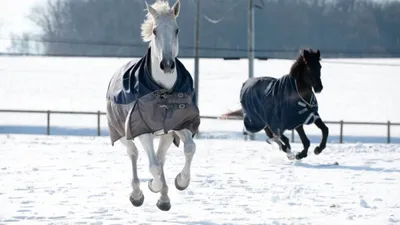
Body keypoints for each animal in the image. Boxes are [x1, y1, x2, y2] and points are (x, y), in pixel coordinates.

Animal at [105, 0, 199, 211]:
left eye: (176, 30)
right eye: (155, 31)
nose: (167, 64)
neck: (163, 92)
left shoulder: (177, 126)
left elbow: (190, 148)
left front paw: (181, 182)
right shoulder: (142, 131)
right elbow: (153, 166)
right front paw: (153, 186)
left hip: (165, 136)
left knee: (160, 156)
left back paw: (164, 198)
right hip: (123, 134)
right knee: (134, 155)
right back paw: (137, 195)